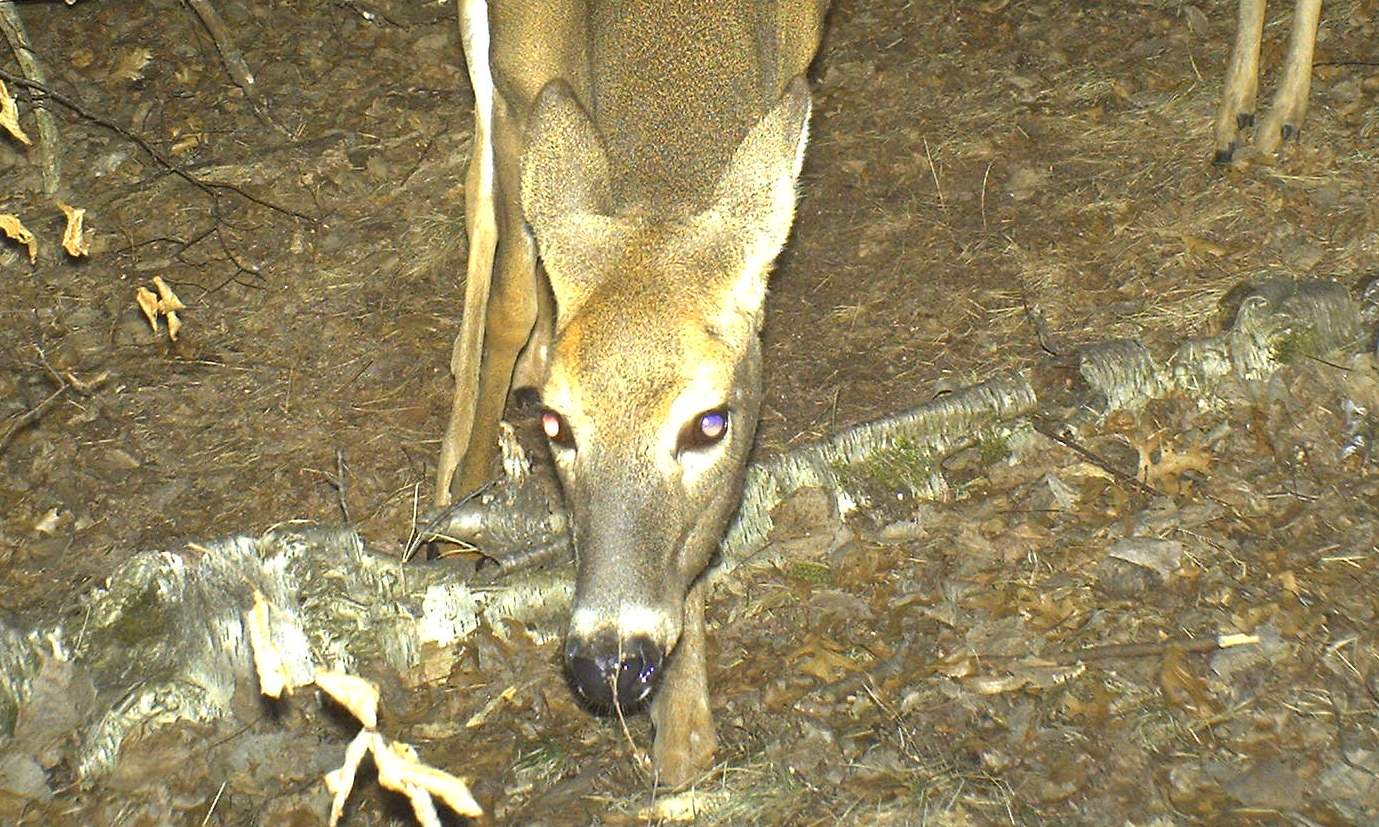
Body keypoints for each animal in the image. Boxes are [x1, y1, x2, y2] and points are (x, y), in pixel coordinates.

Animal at [435, 0, 829, 786]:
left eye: (710, 422)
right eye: (557, 426)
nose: (608, 665)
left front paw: (683, 736)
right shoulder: (523, 84)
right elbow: (513, 288)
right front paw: (466, 501)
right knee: (481, 196)